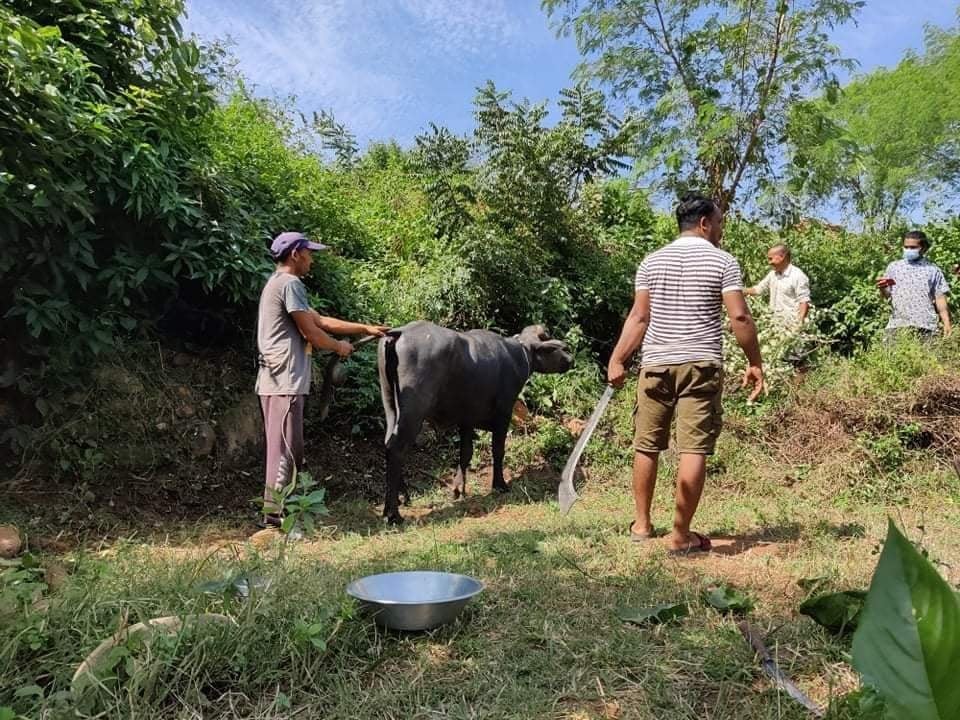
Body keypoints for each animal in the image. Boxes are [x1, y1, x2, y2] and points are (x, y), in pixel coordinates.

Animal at [376, 320, 568, 524]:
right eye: (554, 347)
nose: (570, 357)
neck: (517, 355)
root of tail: (399, 332)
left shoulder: (467, 419)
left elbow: (466, 453)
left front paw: (458, 488)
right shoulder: (504, 413)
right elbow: (498, 450)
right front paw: (499, 484)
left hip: (390, 405)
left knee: (388, 443)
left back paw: (401, 497)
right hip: (413, 412)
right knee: (397, 448)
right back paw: (393, 513)